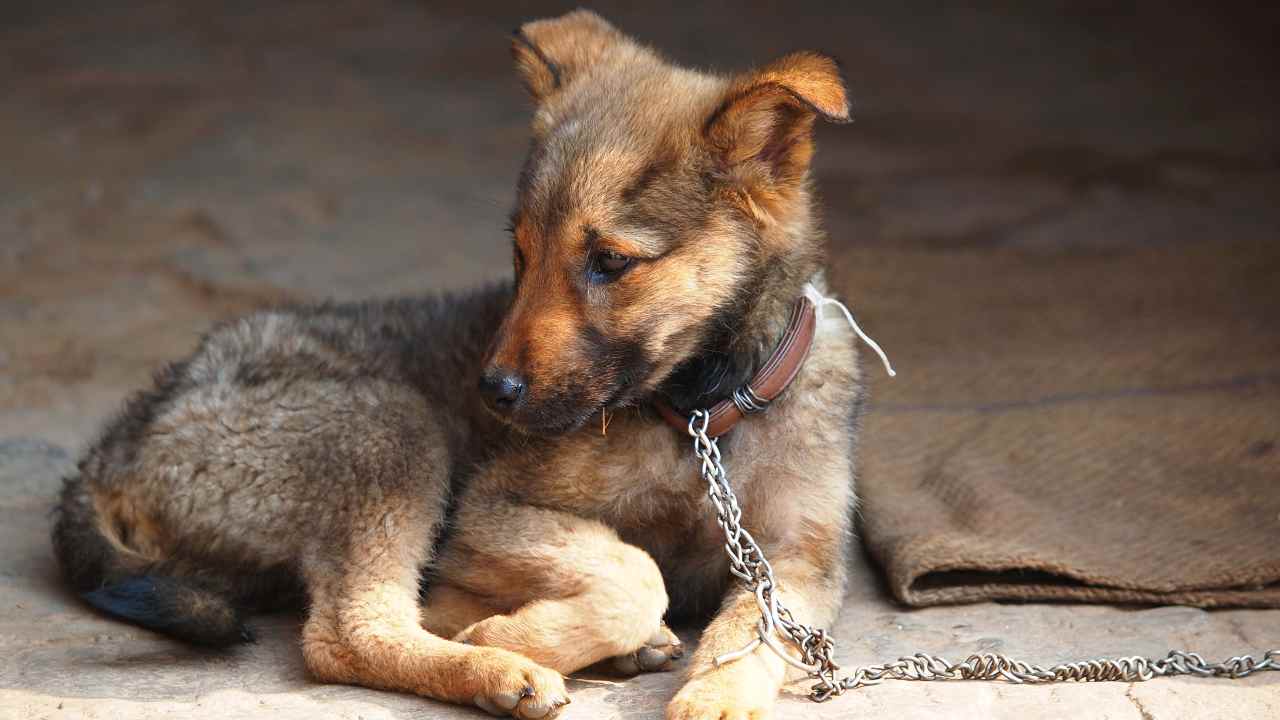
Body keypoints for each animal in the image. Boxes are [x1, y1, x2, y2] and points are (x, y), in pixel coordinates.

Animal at [55, 11, 865, 717]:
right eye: (521, 253)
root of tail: (118, 440)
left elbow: (755, 631)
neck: (700, 412)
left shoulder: (799, 557)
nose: (492, 391)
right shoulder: (492, 505)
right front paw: (516, 637)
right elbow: (634, 571)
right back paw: (499, 665)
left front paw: (715, 696)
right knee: (348, 633)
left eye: (610, 262)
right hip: (388, 427)